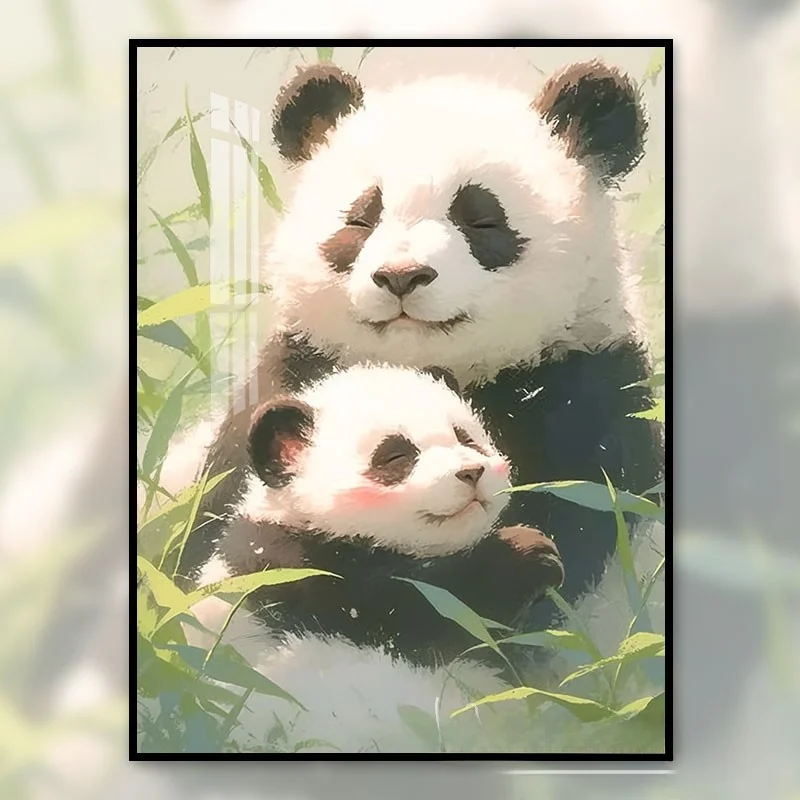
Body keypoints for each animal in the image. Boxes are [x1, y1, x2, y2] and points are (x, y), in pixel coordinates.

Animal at [176, 60, 663, 645]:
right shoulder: (290, 378)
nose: (402, 276)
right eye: (362, 218)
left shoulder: (590, 397)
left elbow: (578, 520)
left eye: (481, 218)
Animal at [187, 363, 564, 752]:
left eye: (465, 438)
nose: (471, 472)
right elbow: (419, 611)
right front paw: (530, 552)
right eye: (397, 455)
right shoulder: (294, 570)